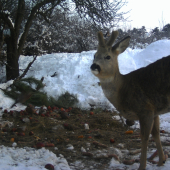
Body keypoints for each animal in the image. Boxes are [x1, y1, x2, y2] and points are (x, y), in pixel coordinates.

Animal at [90, 30, 169, 170]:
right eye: (94, 55)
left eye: (108, 56)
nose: (94, 66)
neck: (123, 91)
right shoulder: (155, 112)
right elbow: (156, 134)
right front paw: (161, 162)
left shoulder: (145, 109)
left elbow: (145, 137)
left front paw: (142, 166)